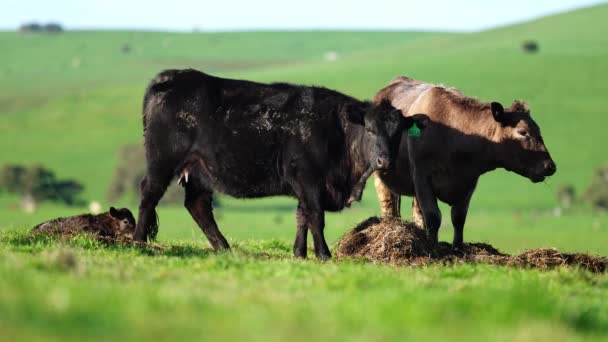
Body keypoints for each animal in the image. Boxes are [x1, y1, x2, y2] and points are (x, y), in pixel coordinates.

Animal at [135, 68, 426, 258]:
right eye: (370, 129)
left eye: (397, 133)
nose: (384, 160)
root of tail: (170, 76)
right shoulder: (309, 178)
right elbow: (315, 216)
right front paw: (323, 254)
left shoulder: (305, 184)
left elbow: (301, 216)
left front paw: (299, 253)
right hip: (162, 160)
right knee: (149, 193)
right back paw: (138, 241)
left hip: (198, 170)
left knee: (198, 206)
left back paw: (225, 248)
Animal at [370, 77, 556, 248]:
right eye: (523, 132)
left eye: (538, 130)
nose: (550, 166)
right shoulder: (422, 176)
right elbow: (433, 216)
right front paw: (434, 247)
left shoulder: (469, 181)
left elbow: (458, 217)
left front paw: (457, 247)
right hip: (382, 176)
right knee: (389, 207)